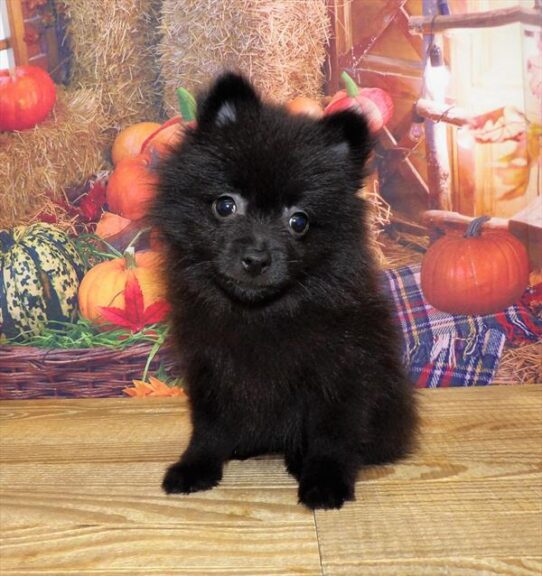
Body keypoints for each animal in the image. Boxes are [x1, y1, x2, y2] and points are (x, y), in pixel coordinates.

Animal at [153, 72, 420, 508]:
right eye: (225, 206)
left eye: (299, 221)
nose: (256, 258)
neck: (259, 314)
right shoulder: (209, 366)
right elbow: (208, 426)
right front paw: (196, 467)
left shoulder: (340, 370)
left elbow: (332, 433)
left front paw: (325, 482)